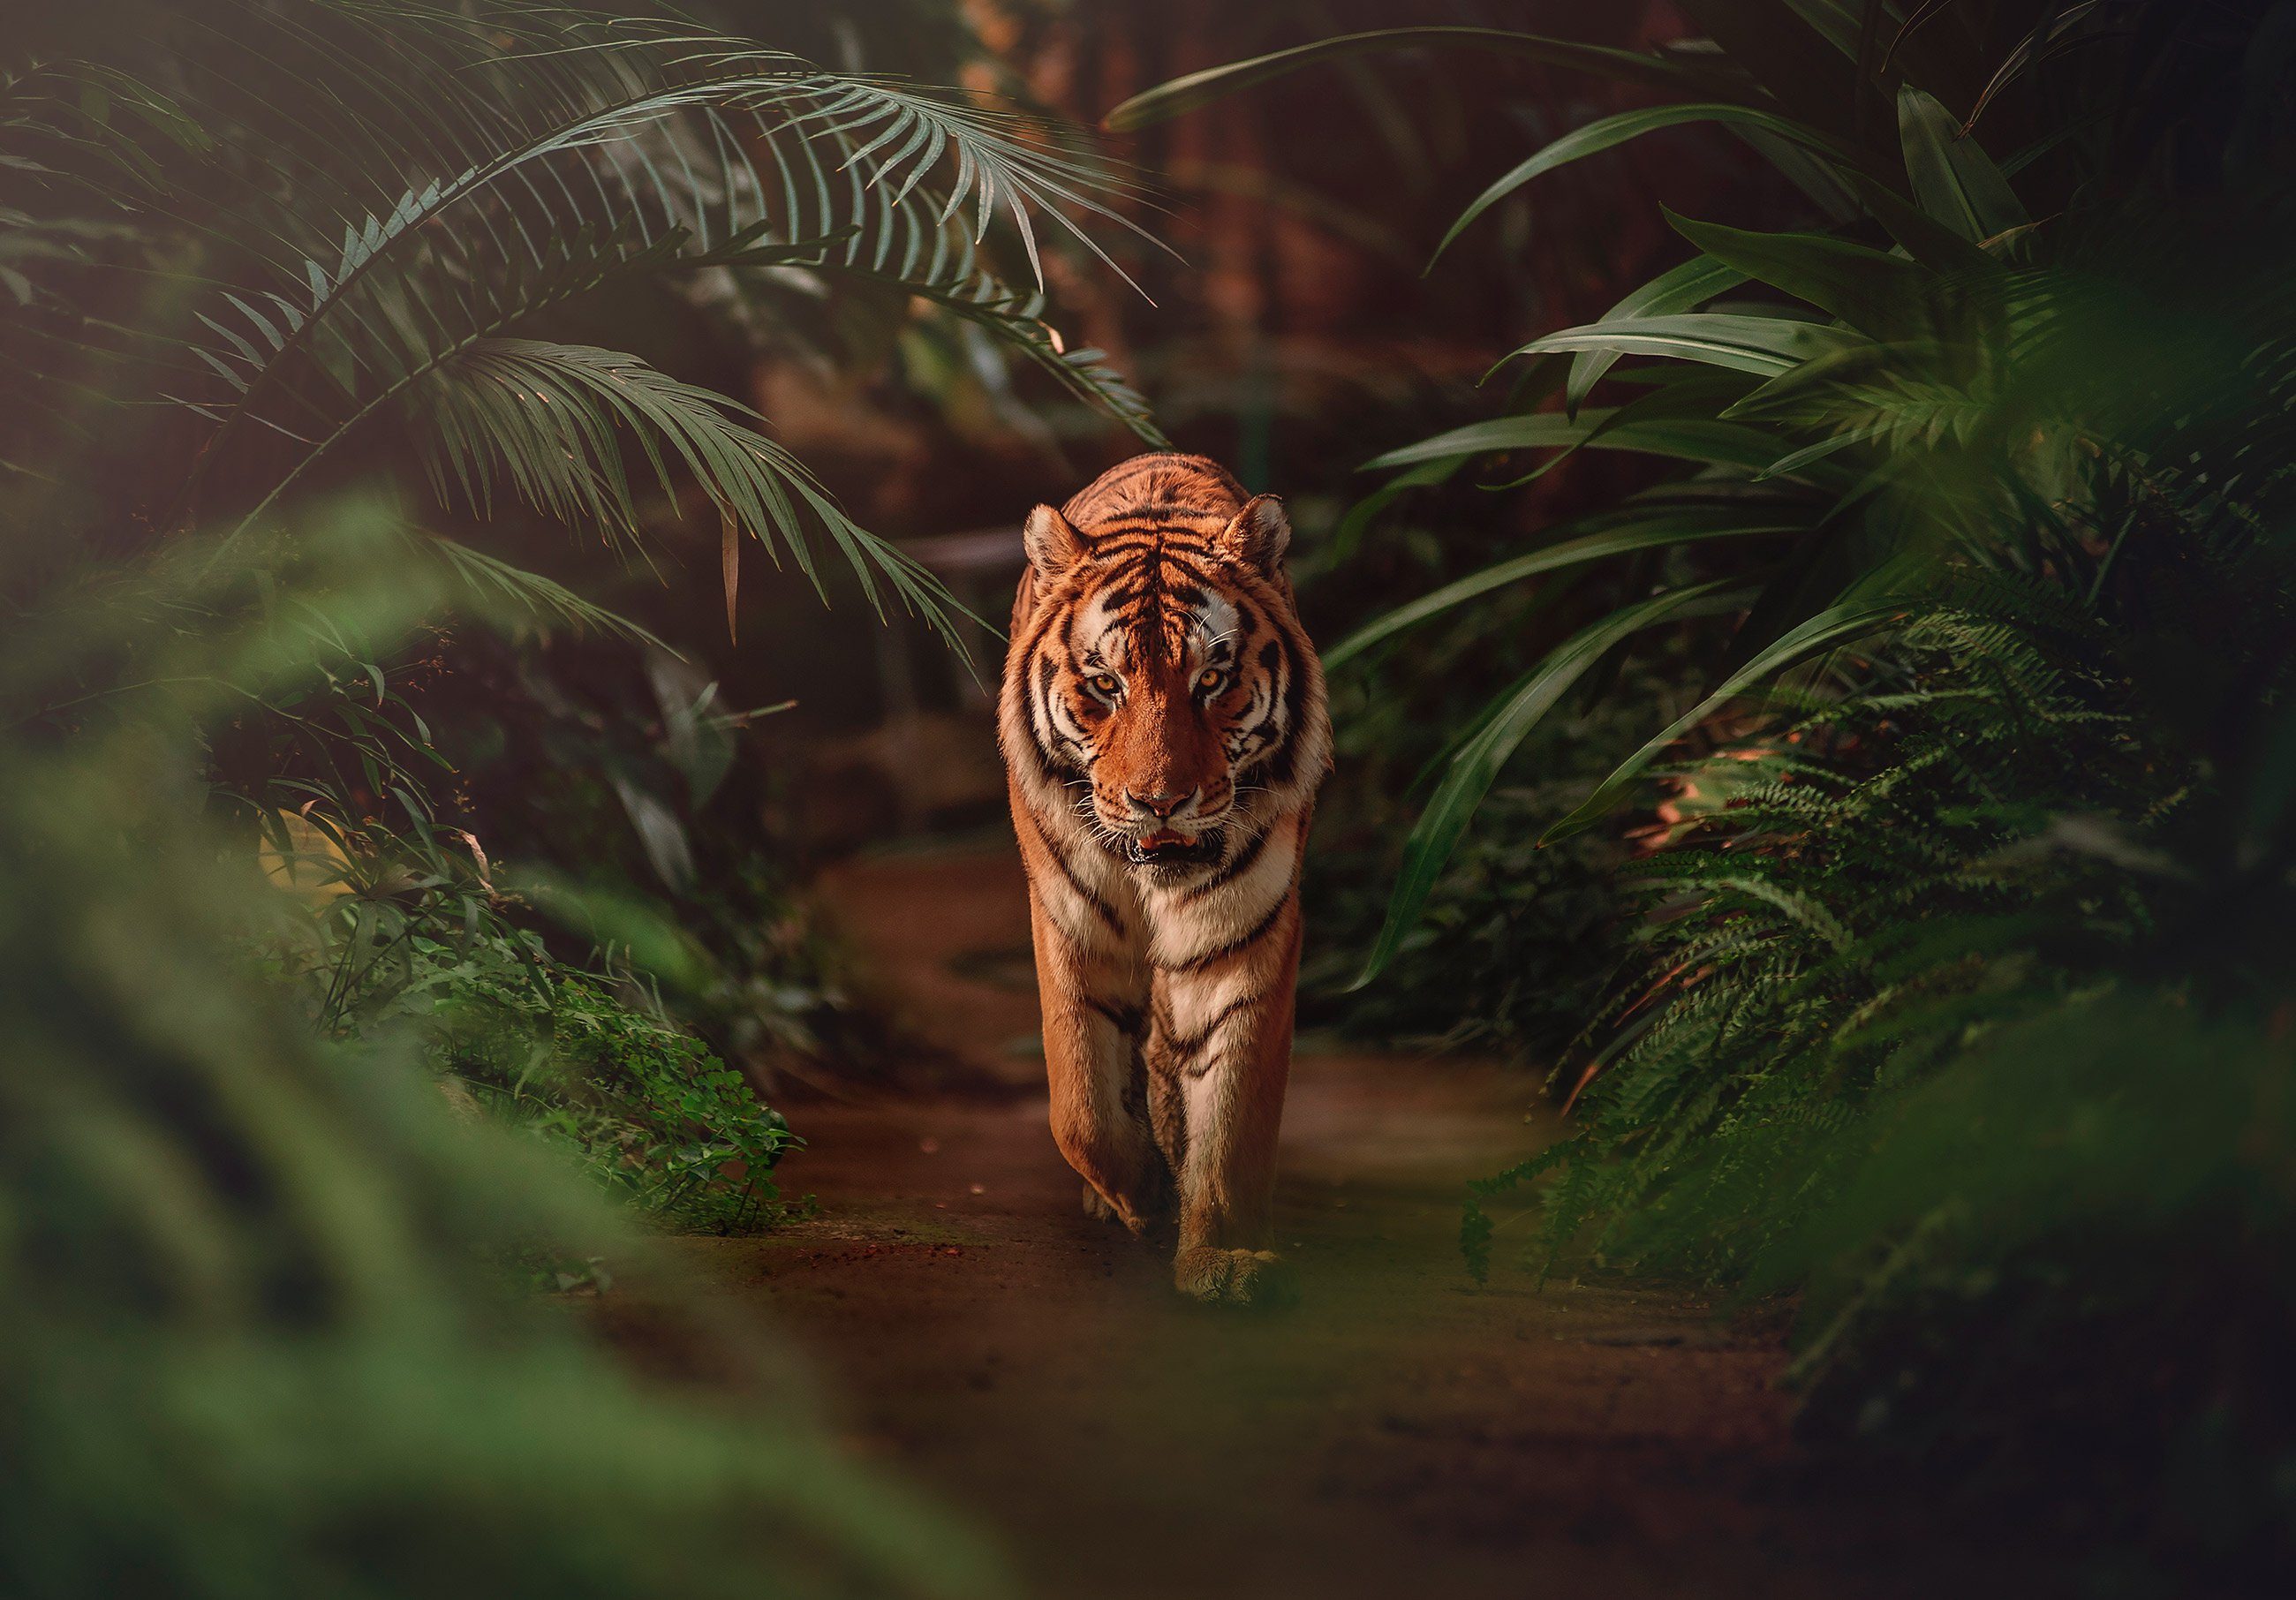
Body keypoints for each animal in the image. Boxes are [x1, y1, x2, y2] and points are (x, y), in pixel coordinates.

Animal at [998, 452, 1331, 1306]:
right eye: (1105, 685)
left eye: (1211, 681)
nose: (1160, 801)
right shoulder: (1071, 929)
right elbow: (1080, 1106)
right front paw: (1141, 1197)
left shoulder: (1242, 940)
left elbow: (1234, 1120)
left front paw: (1222, 1257)